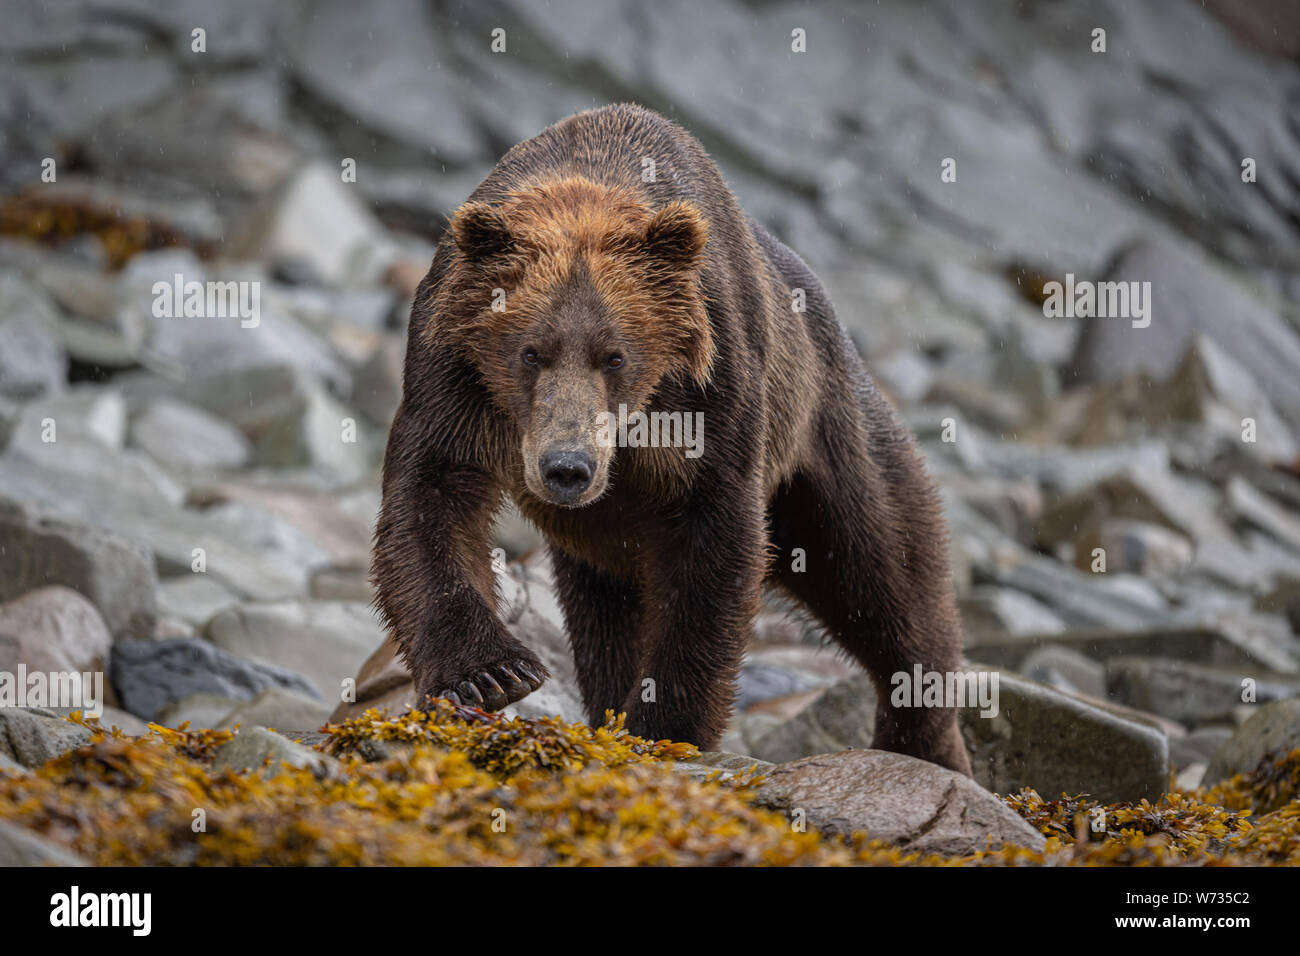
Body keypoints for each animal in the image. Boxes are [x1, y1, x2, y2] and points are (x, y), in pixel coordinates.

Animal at [372, 103, 972, 775]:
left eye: (615, 355)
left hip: (825, 429)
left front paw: (666, 725)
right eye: (531, 351)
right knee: (603, 614)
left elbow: (714, 549)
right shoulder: (451, 378)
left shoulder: (714, 397)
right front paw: (491, 674)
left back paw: (925, 738)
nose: (567, 467)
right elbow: (430, 501)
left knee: (884, 567)